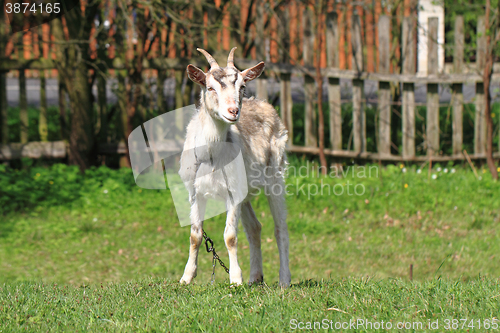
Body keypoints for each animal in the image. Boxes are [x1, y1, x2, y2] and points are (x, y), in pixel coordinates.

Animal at [178, 46, 292, 286]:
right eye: (210, 87)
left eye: (242, 86)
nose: (233, 111)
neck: (211, 156)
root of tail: (264, 103)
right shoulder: (195, 192)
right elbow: (195, 236)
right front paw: (186, 277)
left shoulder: (233, 193)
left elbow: (230, 236)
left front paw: (236, 279)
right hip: (245, 192)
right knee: (255, 228)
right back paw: (255, 277)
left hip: (275, 177)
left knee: (280, 229)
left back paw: (284, 280)